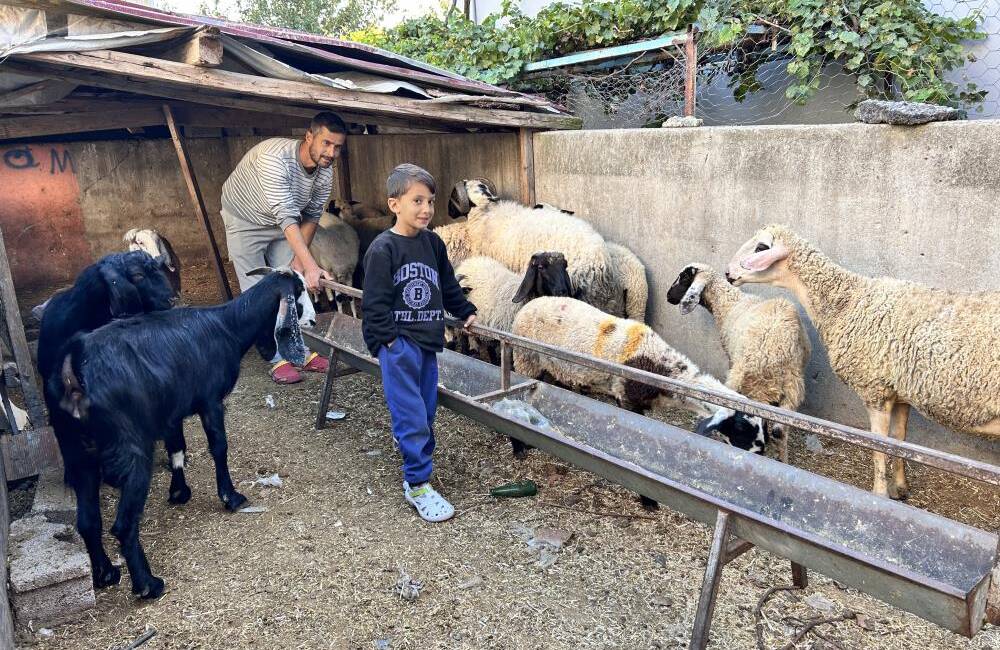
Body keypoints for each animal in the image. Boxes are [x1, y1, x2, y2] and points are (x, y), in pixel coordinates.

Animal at [44, 266, 312, 596]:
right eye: (299, 292)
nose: (313, 321)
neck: (228, 325)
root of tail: (73, 366)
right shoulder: (210, 401)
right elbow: (219, 446)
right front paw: (230, 497)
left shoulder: (171, 410)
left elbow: (177, 448)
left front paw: (179, 492)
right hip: (130, 447)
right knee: (123, 524)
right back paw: (148, 585)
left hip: (77, 452)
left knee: (88, 521)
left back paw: (106, 574)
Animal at [664, 260, 812, 458]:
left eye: (684, 277)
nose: (668, 296)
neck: (729, 304)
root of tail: (778, 354)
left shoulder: (731, 358)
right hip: (792, 390)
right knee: (779, 432)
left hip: (750, 383)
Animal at [728, 223, 1000, 496]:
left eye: (761, 247)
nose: (728, 272)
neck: (848, 302)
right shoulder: (899, 394)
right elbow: (899, 440)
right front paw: (900, 488)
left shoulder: (874, 390)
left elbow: (879, 448)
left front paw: (879, 494)